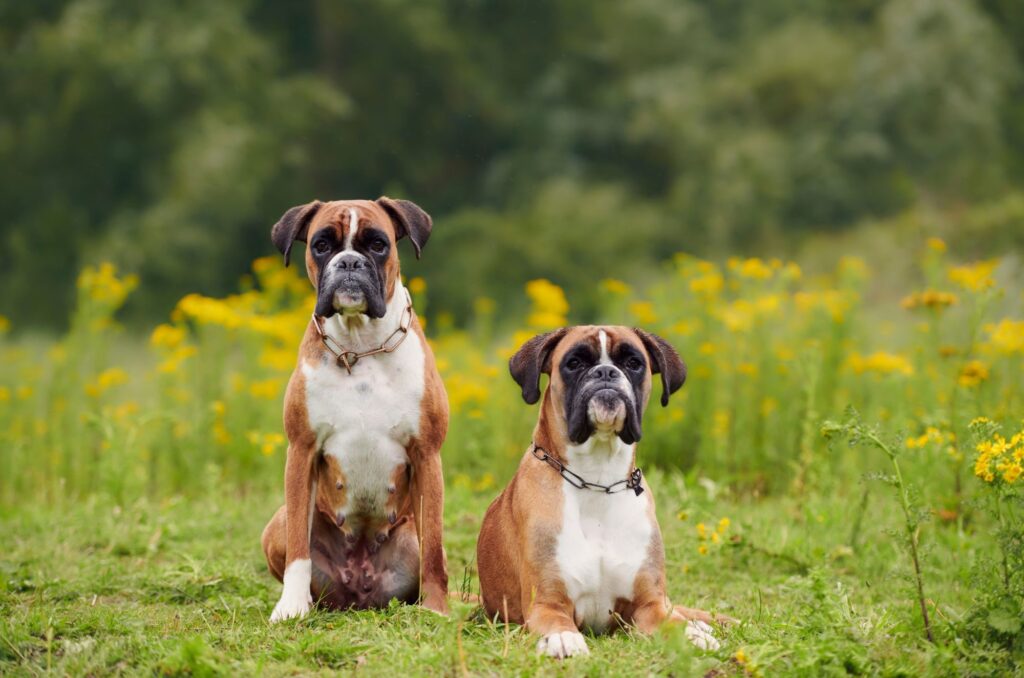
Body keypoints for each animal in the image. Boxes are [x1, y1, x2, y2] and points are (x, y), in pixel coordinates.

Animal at [260, 195, 448, 622]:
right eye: (321, 245)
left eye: (378, 244)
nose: (348, 263)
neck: (360, 346)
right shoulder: (301, 452)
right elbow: (298, 548)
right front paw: (291, 606)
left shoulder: (428, 454)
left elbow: (434, 547)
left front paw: (437, 609)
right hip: (276, 523)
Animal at [477, 329, 724, 659]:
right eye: (574, 363)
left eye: (633, 363)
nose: (606, 372)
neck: (597, 479)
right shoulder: (546, 602)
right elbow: (558, 623)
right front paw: (563, 638)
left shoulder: (649, 605)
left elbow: (673, 623)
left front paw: (693, 636)